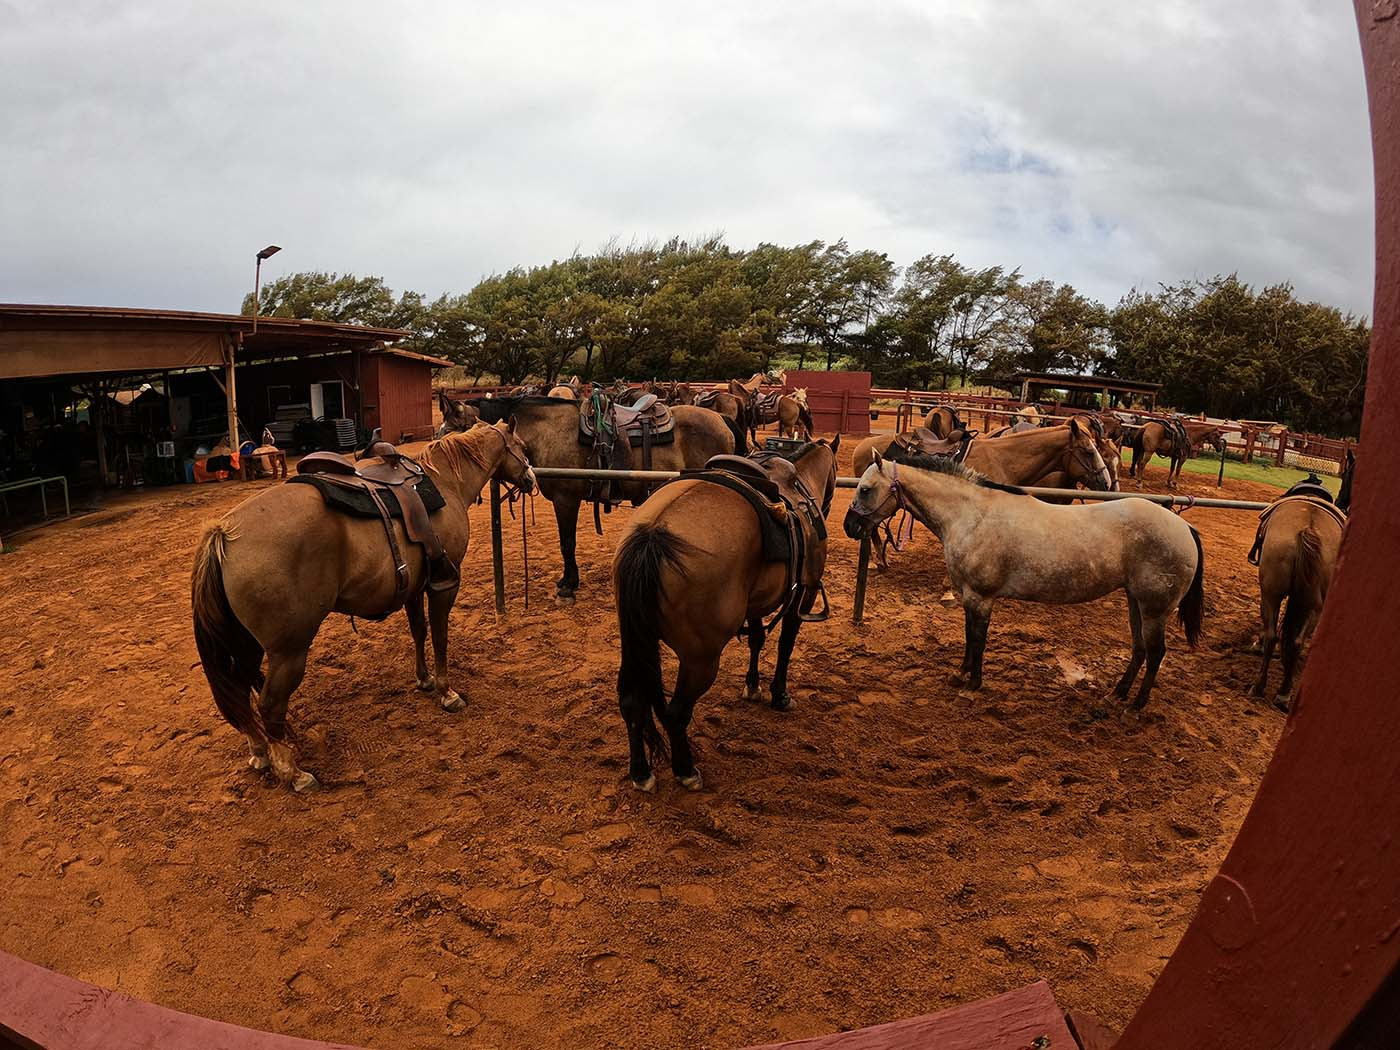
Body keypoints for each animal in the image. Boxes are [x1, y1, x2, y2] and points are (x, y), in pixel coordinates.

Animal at [190, 423, 536, 791]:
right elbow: (441, 638)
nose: (531, 478)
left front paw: (424, 680)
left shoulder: (415, 588)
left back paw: (259, 751)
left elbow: (419, 632)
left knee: (241, 692)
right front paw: (447, 692)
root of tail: (224, 534)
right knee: (270, 705)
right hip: (288, 651)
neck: (445, 481)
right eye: (522, 446)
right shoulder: (444, 584)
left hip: (246, 646)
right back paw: (294, 773)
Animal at [453, 395, 739, 599]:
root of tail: (721, 418)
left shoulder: (565, 499)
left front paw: (568, 585)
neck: (548, 432)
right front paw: (568, 580)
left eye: (458, 430)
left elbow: (567, 543)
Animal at [613, 439, 840, 791]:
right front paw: (779, 695)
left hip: (637, 643)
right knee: (676, 713)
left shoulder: (756, 604)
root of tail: (652, 535)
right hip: (701, 660)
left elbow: (757, 640)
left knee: (631, 702)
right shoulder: (802, 595)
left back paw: (640, 772)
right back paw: (686, 770)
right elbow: (785, 646)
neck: (800, 481)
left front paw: (752, 686)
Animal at [845, 451, 1203, 708]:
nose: (850, 526)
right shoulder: (968, 596)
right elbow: (968, 636)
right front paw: (960, 675)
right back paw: (1117, 694)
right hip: (1135, 602)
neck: (972, 516)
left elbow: (978, 639)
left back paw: (1136, 705)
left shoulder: (981, 597)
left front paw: (972, 685)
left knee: (1155, 654)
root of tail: (1184, 528)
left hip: (1154, 610)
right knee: (1140, 650)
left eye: (865, 489)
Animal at [1249, 483, 1347, 712]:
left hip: (1271, 594)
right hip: (1314, 605)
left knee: (1272, 635)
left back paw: (1262, 687)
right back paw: (1282, 693)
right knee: (1295, 642)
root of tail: (1307, 528)